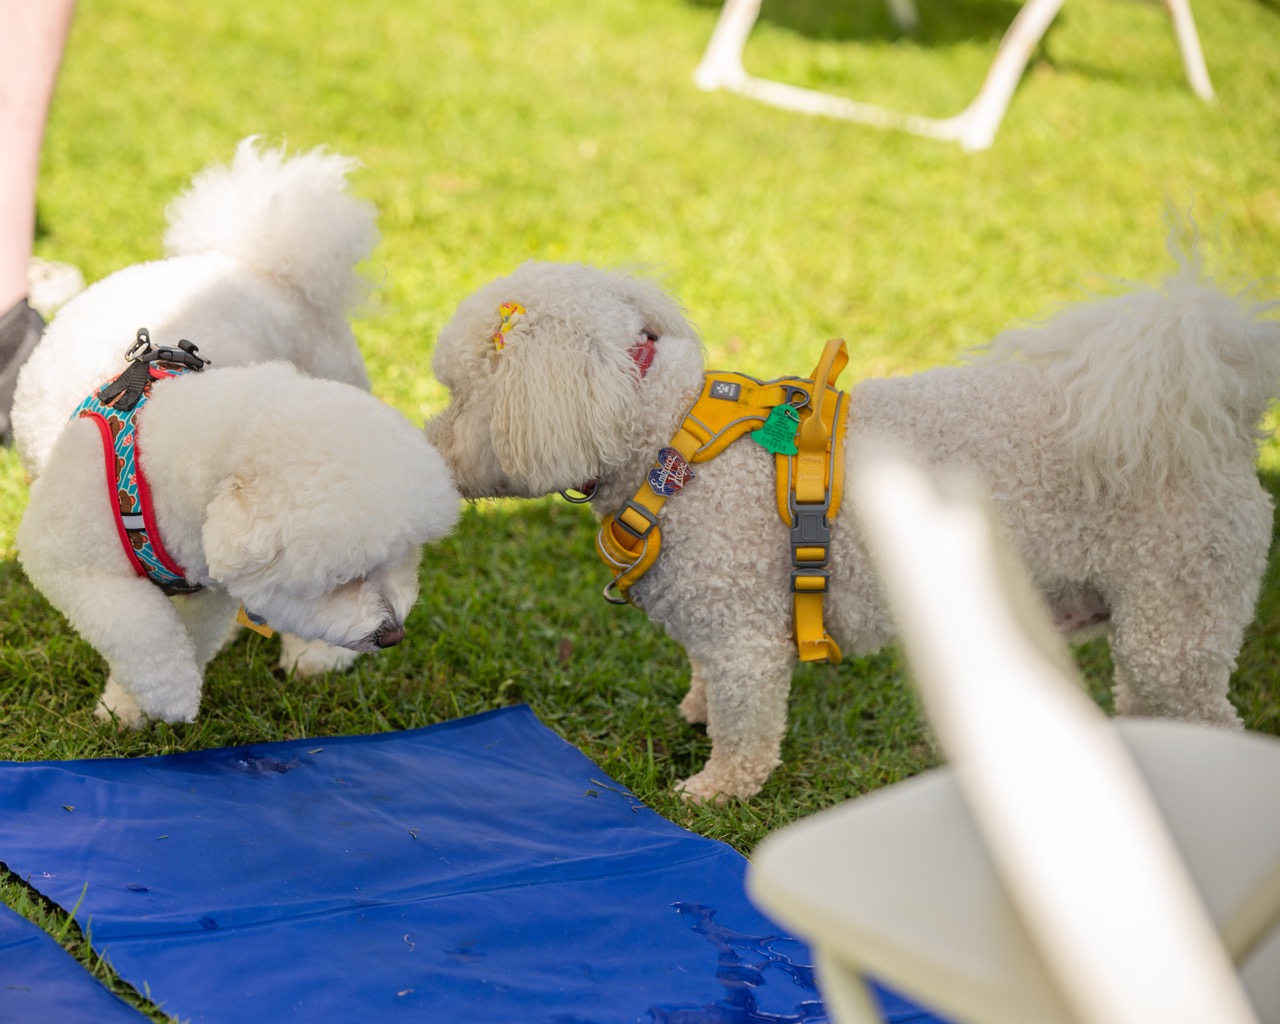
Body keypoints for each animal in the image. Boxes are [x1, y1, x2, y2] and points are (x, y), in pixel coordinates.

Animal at [12, 139, 460, 725]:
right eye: (341, 580)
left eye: (400, 558)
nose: (392, 634)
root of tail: (257, 261)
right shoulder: (63, 556)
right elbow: (136, 625)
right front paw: (157, 699)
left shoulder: (208, 584)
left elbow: (189, 631)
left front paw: (144, 698)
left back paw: (314, 654)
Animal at [425, 250, 1280, 802]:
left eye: (461, 393)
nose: (431, 450)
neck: (672, 439)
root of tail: (1224, 424)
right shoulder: (717, 625)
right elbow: (706, 684)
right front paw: (697, 712)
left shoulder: (746, 637)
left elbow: (745, 727)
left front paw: (716, 790)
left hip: (1177, 616)